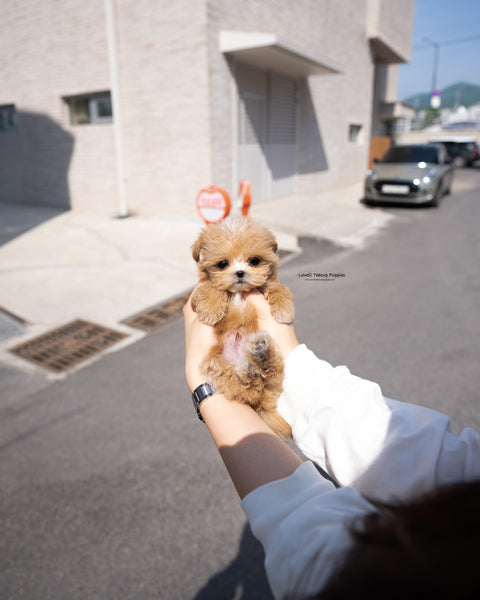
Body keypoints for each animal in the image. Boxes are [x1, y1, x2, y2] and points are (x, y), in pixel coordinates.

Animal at [189, 216, 294, 436]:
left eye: (254, 261)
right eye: (222, 264)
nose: (239, 272)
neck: (238, 292)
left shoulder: (267, 285)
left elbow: (277, 287)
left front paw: (284, 309)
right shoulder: (197, 294)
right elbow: (210, 287)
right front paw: (210, 308)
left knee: (268, 375)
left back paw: (261, 355)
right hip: (217, 366)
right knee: (247, 389)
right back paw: (252, 368)